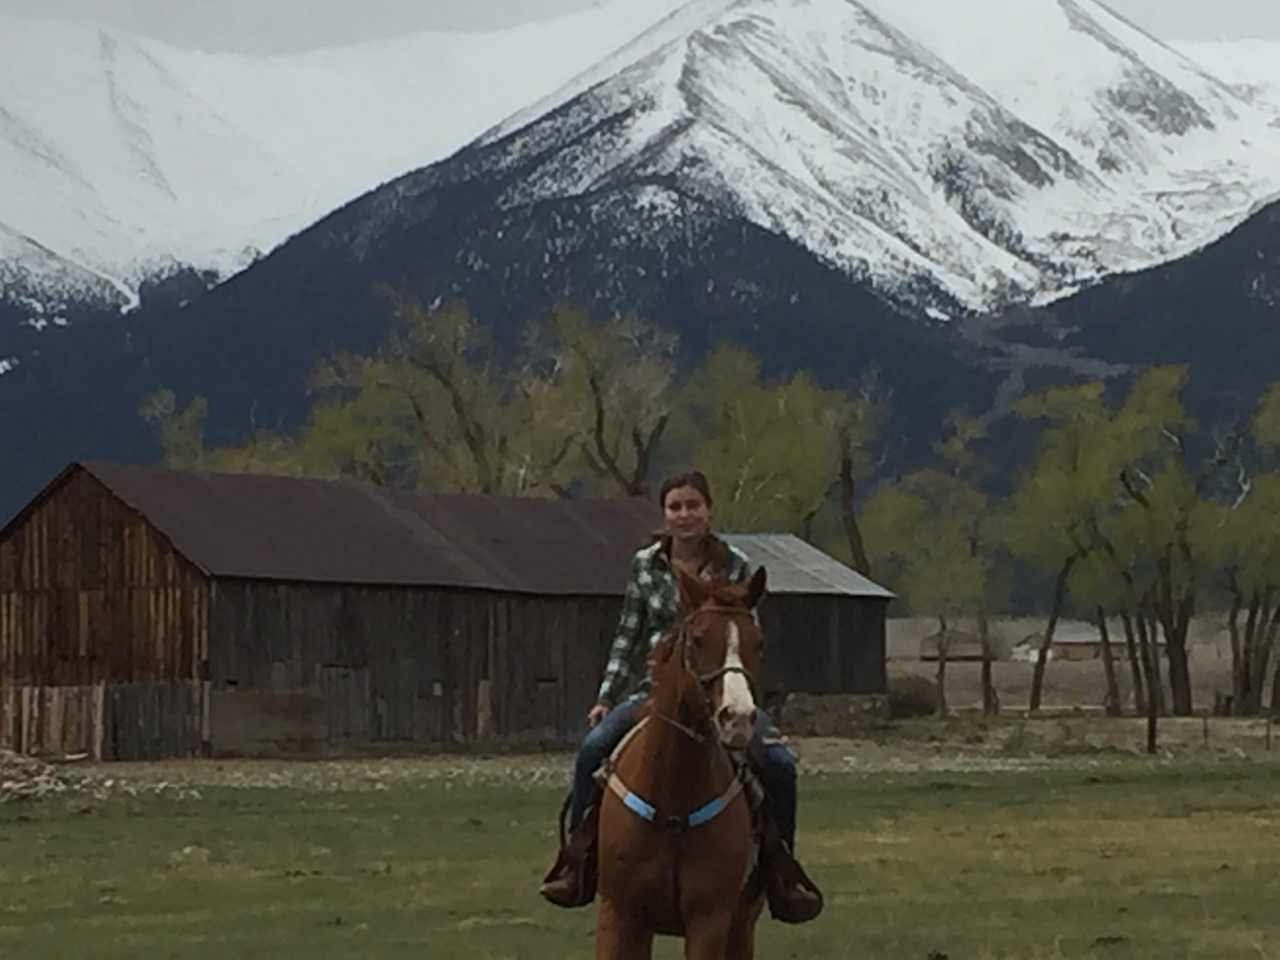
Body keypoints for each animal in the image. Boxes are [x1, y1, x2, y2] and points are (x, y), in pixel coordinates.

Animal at [591, 568, 762, 957]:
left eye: (759, 642)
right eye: (698, 639)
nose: (738, 718)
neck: (672, 801)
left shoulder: (710, 920)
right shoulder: (619, 914)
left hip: (742, 925)